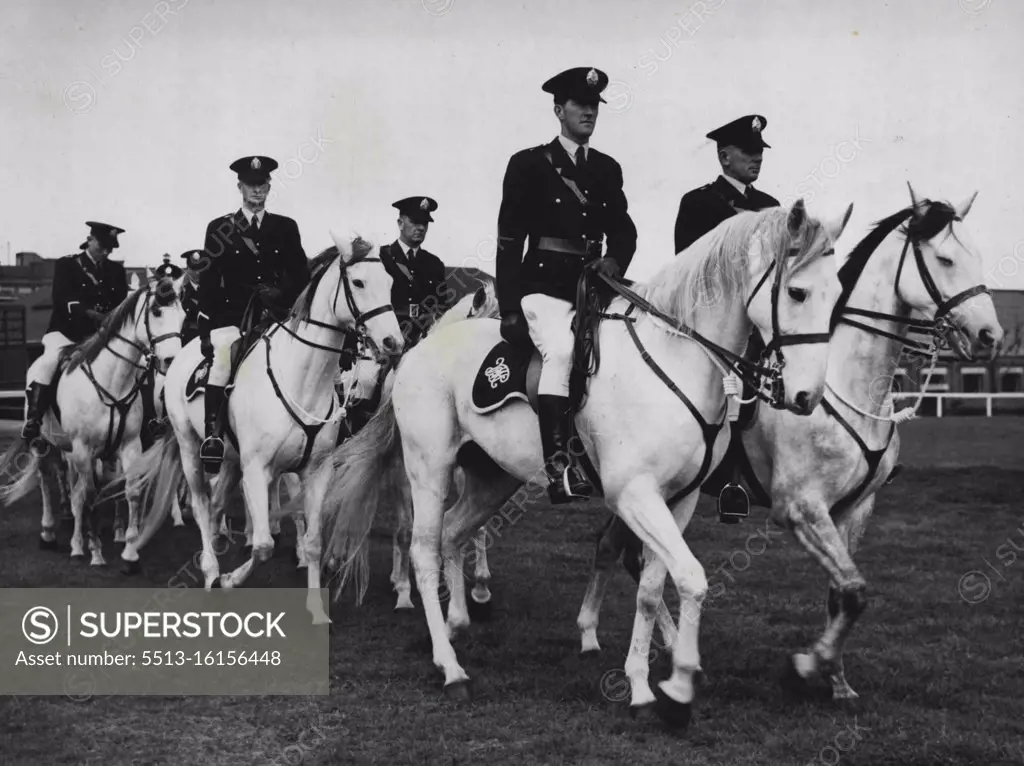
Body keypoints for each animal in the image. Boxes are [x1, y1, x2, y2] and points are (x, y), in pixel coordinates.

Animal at [0, 278, 186, 565]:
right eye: (156, 311)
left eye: (183, 315)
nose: (171, 362)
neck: (111, 381)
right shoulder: (83, 449)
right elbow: (87, 495)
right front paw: (91, 549)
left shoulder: (129, 446)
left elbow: (128, 490)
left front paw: (129, 549)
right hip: (43, 444)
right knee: (46, 482)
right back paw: (49, 532)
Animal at [121, 230, 401, 618]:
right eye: (358, 282)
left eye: (389, 282)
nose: (394, 342)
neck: (302, 379)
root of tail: (182, 353)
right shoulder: (256, 469)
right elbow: (264, 546)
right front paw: (229, 580)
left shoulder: (316, 470)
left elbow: (314, 541)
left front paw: (316, 609)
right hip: (191, 448)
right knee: (200, 502)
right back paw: (210, 569)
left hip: (230, 459)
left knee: (216, 504)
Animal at [313, 198, 847, 729]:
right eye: (797, 291)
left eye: (838, 292)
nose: (805, 396)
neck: (676, 361)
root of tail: (415, 350)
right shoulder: (634, 495)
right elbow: (693, 580)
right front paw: (678, 686)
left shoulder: (679, 500)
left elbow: (653, 587)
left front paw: (642, 685)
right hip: (429, 468)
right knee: (423, 549)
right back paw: (450, 667)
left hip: (491, 478)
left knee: (453, 533)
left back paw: (455, 623)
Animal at [577, 182, 1007, 696]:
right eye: (944, 259)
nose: (990, 336)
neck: (845, 381)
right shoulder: (802, 507)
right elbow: (854, 591)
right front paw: (808, 664)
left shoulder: (855, 509)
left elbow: (841, 592)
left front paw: (837, 679)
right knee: (632, 556)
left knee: (615, 548)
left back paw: (611, 635)